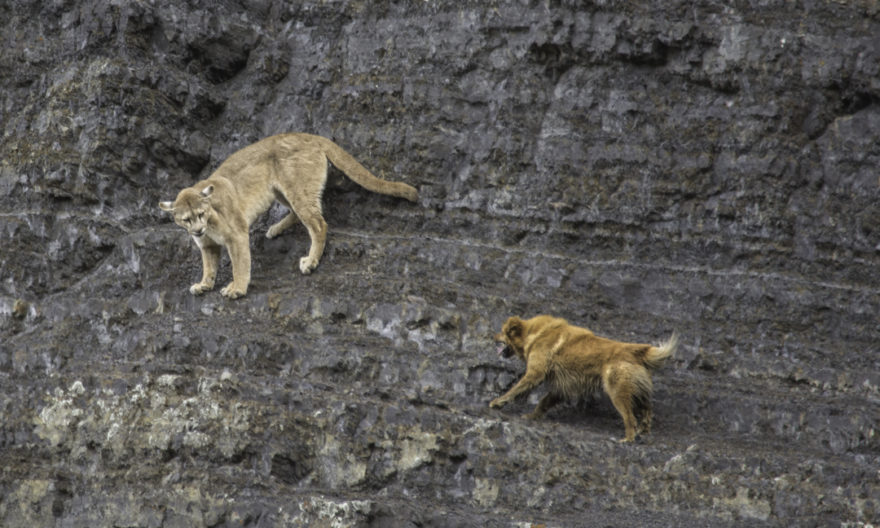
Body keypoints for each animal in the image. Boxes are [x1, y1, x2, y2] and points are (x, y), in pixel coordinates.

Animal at [492, 316, 676, 444]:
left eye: (502, 331)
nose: (493, 337)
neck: (533, 335)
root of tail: (636, 351)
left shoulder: (536, 373)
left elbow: (516, 389)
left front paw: (497, 402)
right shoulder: (563, 386)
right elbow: (544, 401)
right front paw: (532, 415)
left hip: (617, 391)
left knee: (629, 417)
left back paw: (627, 438)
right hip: (639, 390)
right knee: (646, 412)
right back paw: (642, 432)